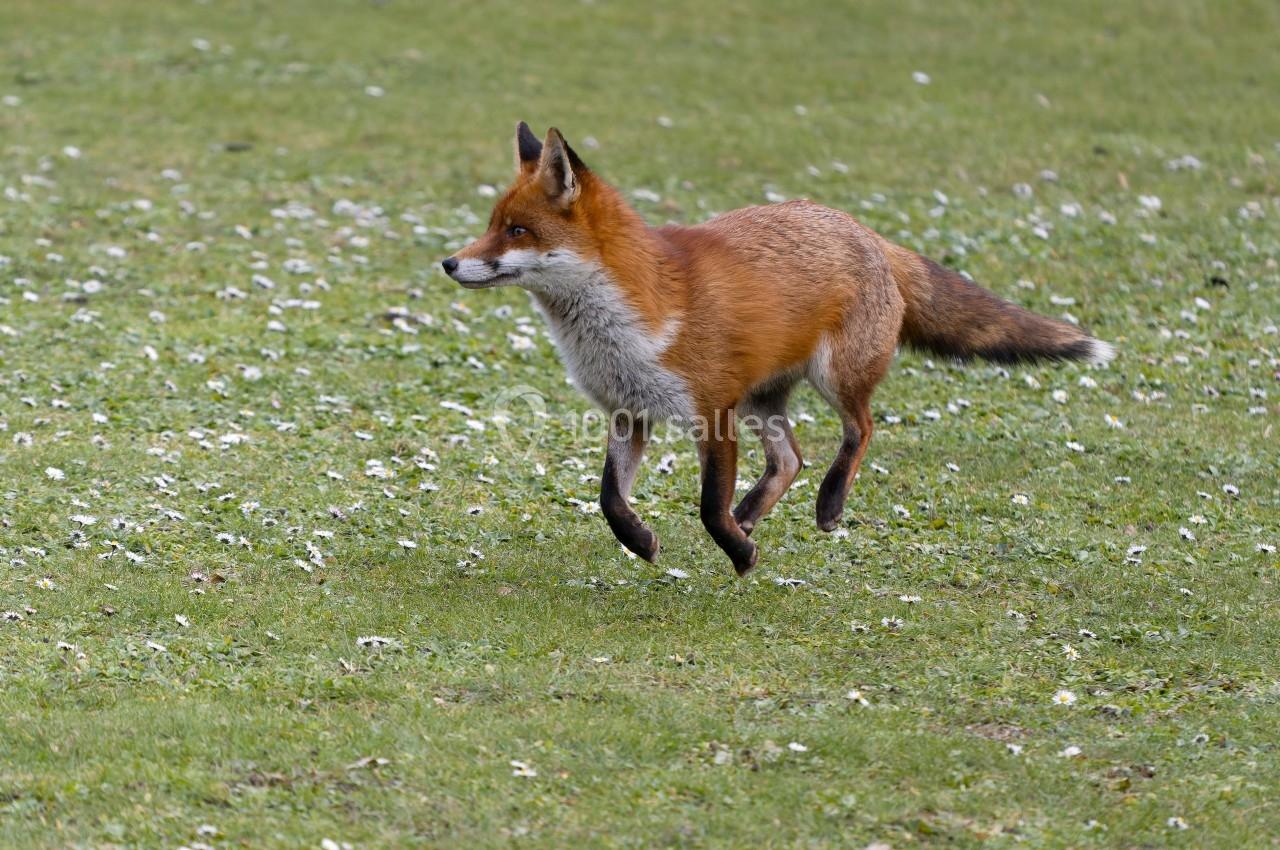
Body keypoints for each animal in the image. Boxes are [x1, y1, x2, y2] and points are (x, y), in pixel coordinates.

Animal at [442, 123, 1114, 575]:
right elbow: (609, 498)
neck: (620, 323)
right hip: (763, 400)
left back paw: (827, 505)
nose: (449, 262)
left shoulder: (712, 412)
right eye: (491, 225)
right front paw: (642, 542)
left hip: (834, 378)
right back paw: (754, 511)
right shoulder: (630, 410)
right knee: (790, 458)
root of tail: (866, 232)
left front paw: (739, 555)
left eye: (517, 231)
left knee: (860, 431)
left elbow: (707, 507)